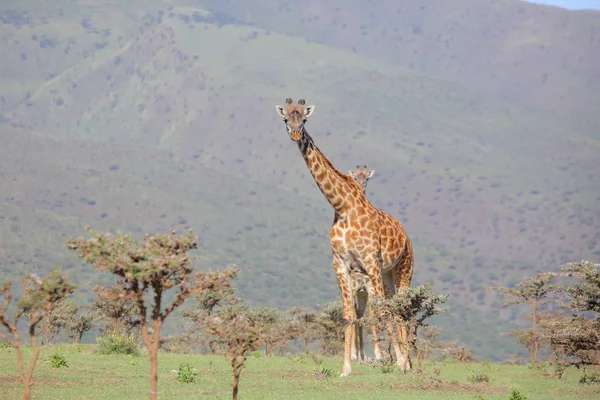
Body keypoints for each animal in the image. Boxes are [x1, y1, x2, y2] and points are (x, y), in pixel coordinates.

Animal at [276, 97, 412, 376]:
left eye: (304, 119)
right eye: (286, 118)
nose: (295, 134)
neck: (342, 206)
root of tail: (406, 235)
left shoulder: (369, 261)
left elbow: (380, 312)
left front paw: (394, 361)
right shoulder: (340, 264)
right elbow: (349, 314)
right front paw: (346, 368)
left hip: (403, 269)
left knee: (400, 309)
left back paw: (406, 362)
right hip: (387, 274)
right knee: (393, 308)